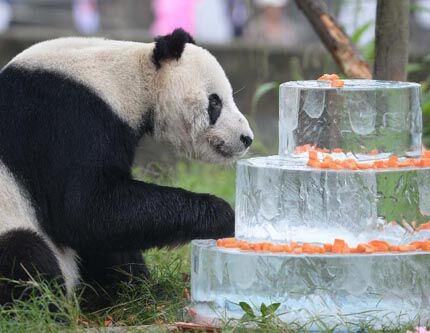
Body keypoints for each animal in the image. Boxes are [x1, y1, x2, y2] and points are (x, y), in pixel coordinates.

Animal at [0, 29, 252, 304]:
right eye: (215, 102)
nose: (246, 138)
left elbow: (109, 229)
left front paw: (135, 285)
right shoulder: (67, 119)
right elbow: (88, 208)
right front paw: (225, 216)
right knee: (23, 254)